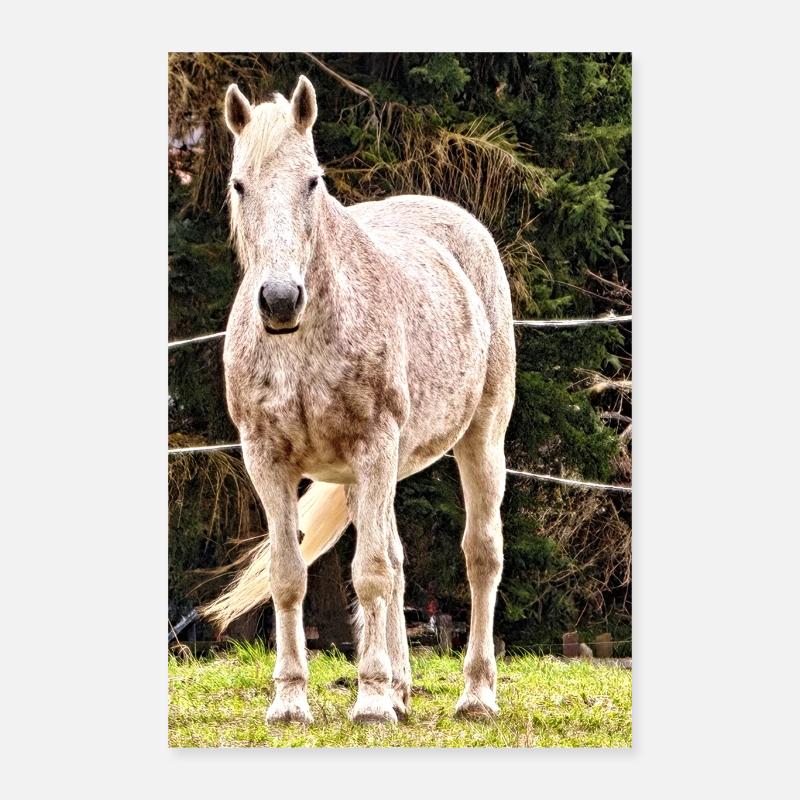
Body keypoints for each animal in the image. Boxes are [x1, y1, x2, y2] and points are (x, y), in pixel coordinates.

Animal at [202, 76, 516, 725]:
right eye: (239, 184)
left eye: (312, 181)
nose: (279, 299)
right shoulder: (266, 459)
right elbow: (290, 574)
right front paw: (291, 701)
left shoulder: (375, 447)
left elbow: (367, 572)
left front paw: (369, 700)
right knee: (396, 561)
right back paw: (401, 688)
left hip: (480, 439)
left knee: (480, 556)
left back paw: (475, 694)